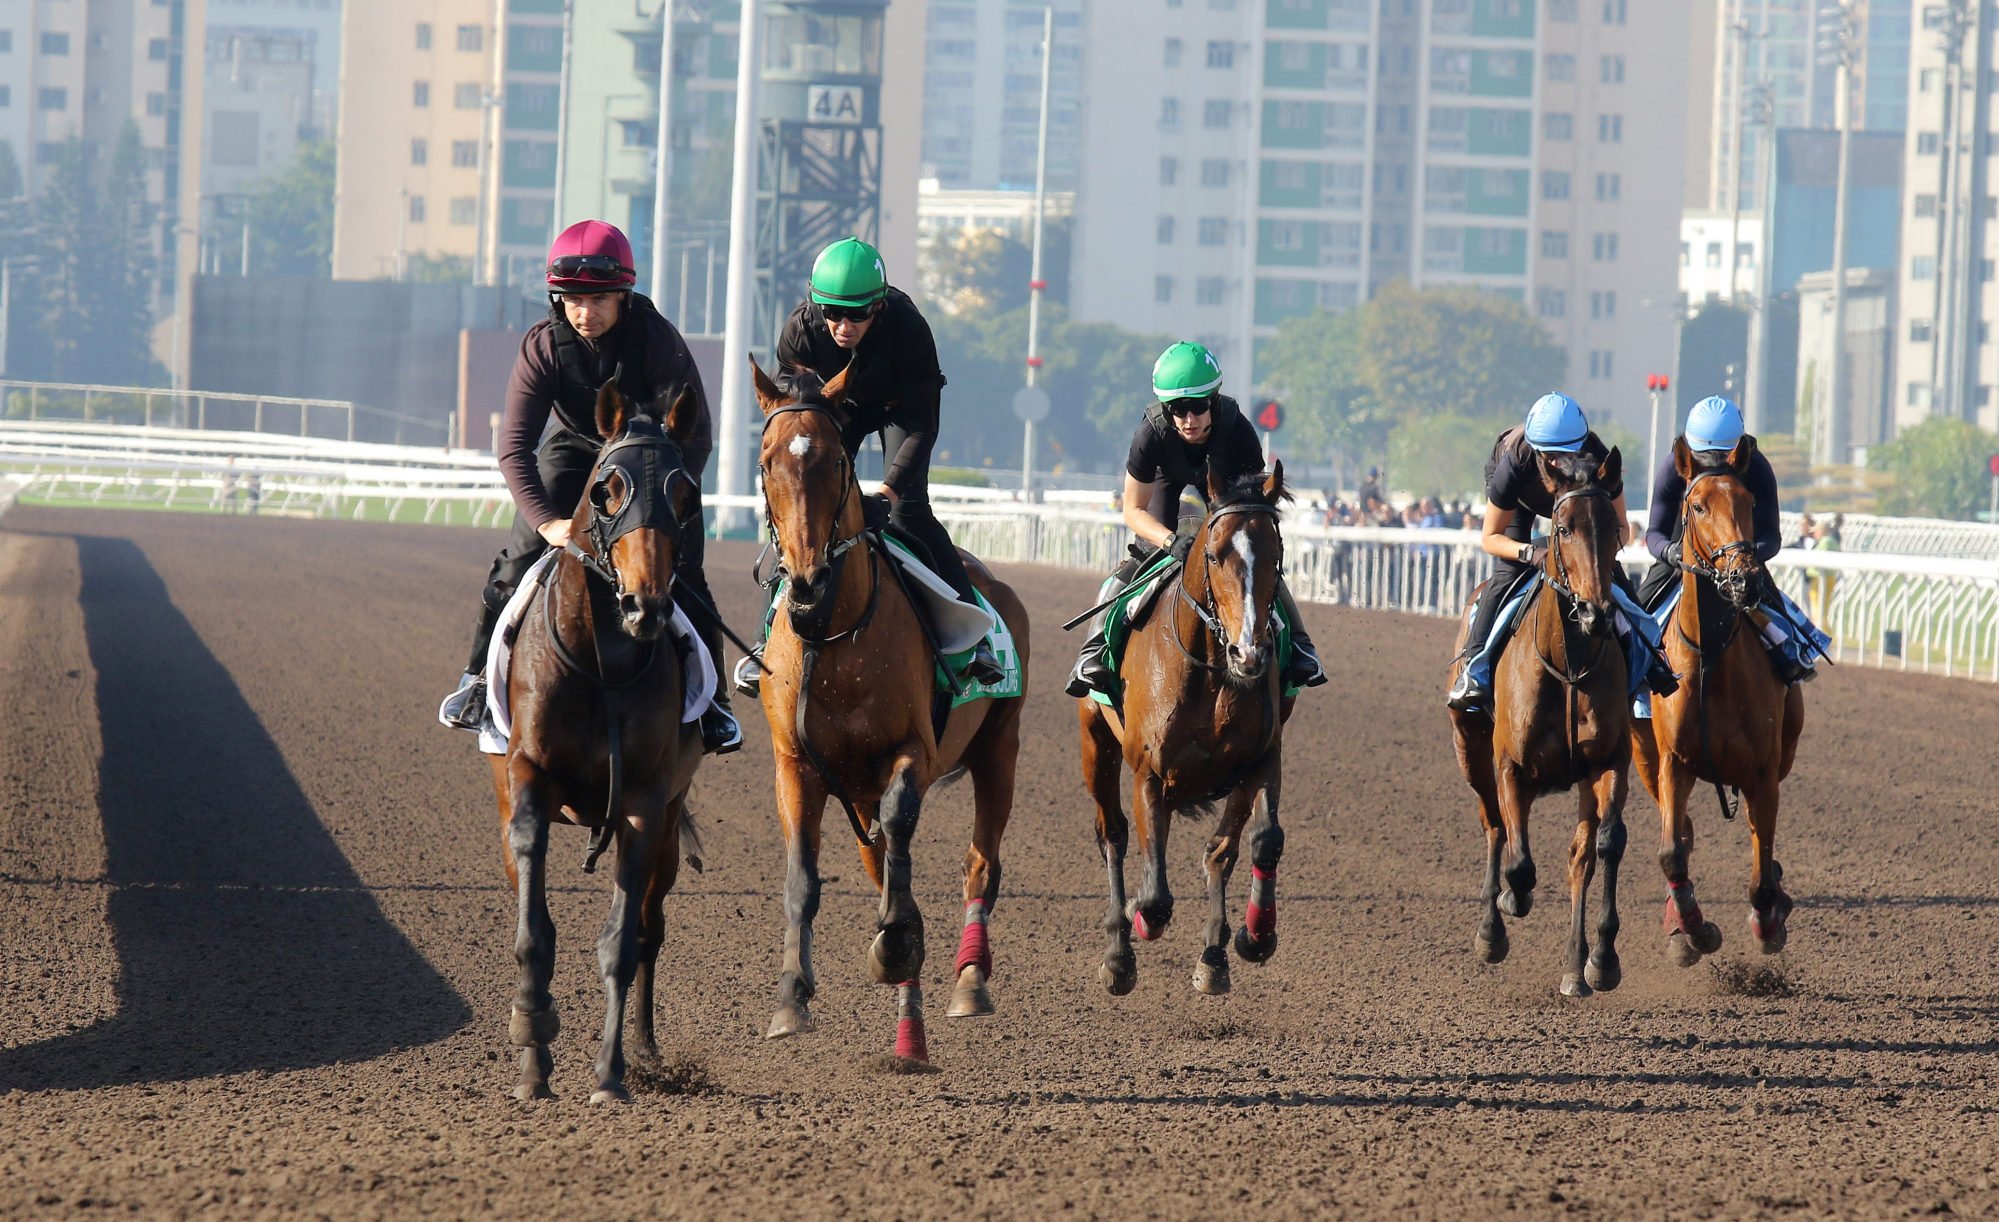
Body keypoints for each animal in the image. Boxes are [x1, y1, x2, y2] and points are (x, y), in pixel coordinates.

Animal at [483, 384, 703, 1112]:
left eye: (685, 494)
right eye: (607, 489)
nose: (645, 605)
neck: (601, 663)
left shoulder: (643, 800)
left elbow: (621, 944)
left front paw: (610, 1074)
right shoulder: (527, 778)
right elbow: (533, 930)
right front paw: (531, 1047)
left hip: (670, 825)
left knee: (650, 928)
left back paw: (647, 1050)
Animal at [751, 358, 1031, 1064]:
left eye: (835, 459)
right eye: (767, 461)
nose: (807, 581)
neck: (834, 636)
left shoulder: (913, 751)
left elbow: (903, 825)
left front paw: (900, 943)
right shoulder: (796, 765)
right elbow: (804, 879)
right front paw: (792, 998)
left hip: (1000, 748)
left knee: (980, 864)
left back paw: (967, 982)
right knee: (879, 861)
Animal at [1079, 464, 1295, 1000]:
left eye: (1276, 555)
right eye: (1215, 555)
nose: (1250, 653)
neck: (1212, 669)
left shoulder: (1261, 758)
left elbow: (1249, 843)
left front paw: (1242, 942)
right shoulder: (1149, 772)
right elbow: (1155, 893)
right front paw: (1141, 919)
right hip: (1095, 745)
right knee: (1112, 835)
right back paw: (1119, 951)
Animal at [1447, 448, 1631, 996]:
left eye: (1612, 525)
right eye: (1564, 528)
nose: (1595, 611)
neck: (1567, 666)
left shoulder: (1610, 761)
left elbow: (1605, 845)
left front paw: (1602, 959)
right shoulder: (1511, 765)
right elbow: (1521, 862)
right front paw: (1510, 900)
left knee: (1578, 859)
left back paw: (1575, 966)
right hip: (1470, 749)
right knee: (1493, 824)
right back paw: (1492, 928)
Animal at [1631, 438, 1807, 964]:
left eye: (1749, 502)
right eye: (1697, 506)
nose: (1744, 580)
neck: (1711, 660)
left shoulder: (1764, 770)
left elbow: (1761, 862)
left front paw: (1768, 922)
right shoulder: (1673, 762)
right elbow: (1672, 851)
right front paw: (1692, 929)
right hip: (1645, 758)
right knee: (1683, 833)